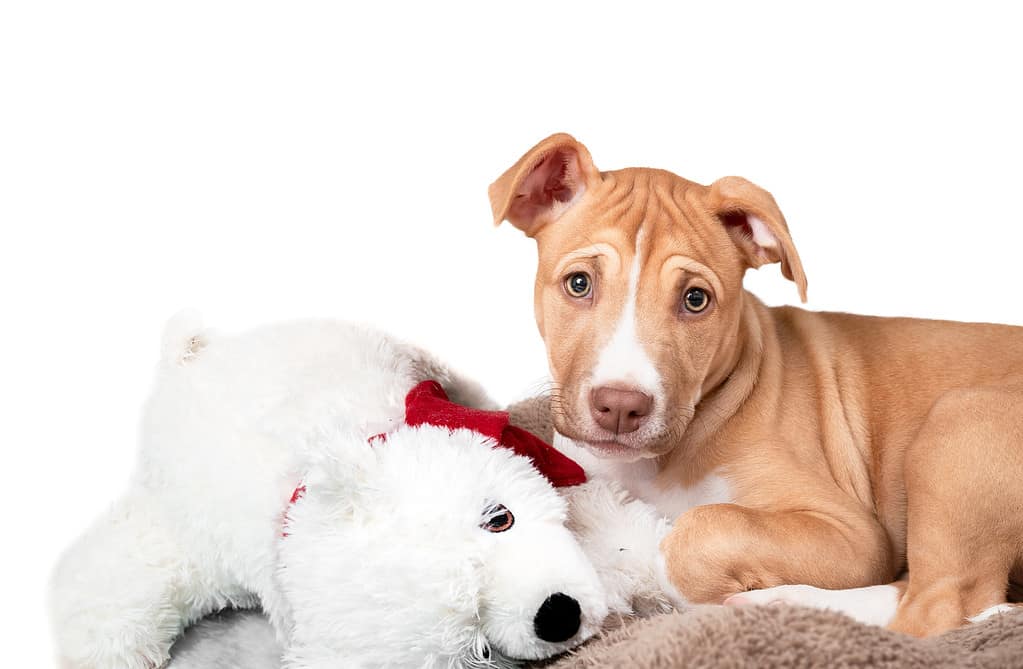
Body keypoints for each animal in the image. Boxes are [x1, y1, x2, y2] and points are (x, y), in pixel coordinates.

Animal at [488, 131, 1023, 638]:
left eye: (696, 299)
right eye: (579, 283)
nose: (620, 406)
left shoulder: (855, 534)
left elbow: (697, 529)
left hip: (960, 421)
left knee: (940, 608)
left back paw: (779, 603)